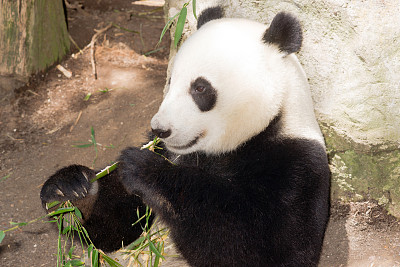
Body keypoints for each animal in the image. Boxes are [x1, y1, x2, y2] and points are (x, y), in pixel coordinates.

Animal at [40, 6, 330, 267]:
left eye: (200, 88)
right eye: (170, 80)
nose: (160, 130)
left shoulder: (295, 165)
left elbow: (261, 246)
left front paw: (147, 171)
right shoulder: (165, 149)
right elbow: (119, 228)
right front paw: (69, 191)